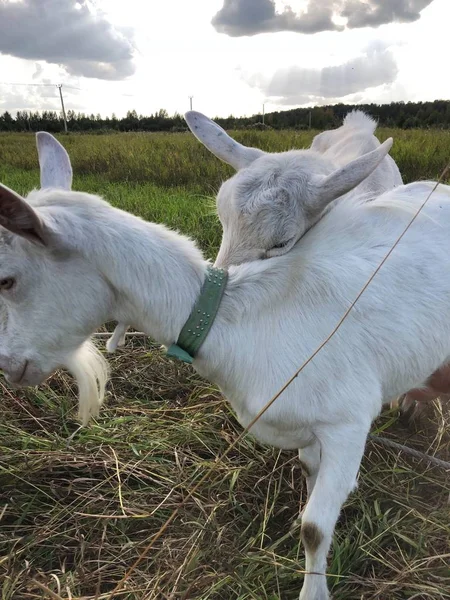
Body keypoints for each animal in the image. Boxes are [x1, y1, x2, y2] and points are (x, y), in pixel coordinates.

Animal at [2, 142, 450, 600]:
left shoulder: (348, 422)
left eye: (6, 280)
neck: (242, 320)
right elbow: (310, 480)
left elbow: (313, 527)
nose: (7, 364)